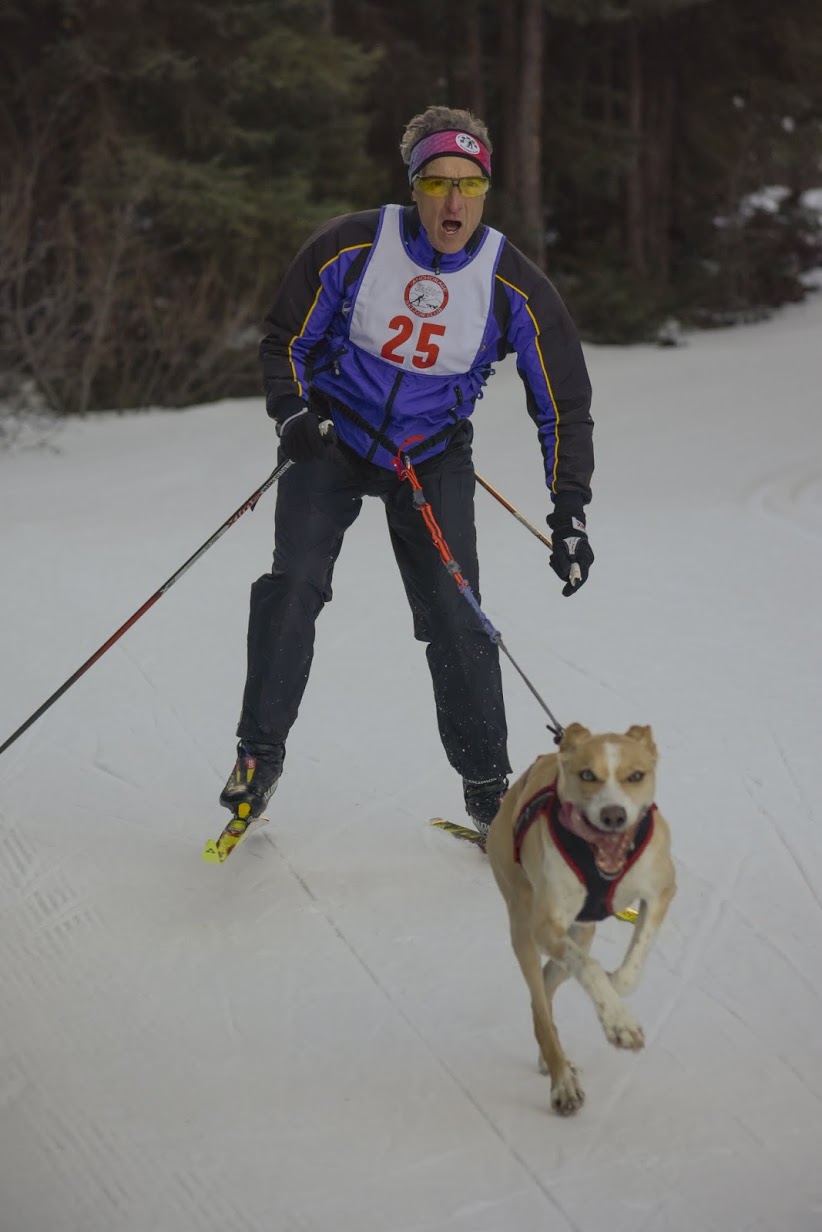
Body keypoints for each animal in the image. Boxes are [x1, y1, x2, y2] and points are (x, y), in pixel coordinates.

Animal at [488, 719, 675, 1118]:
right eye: (587, 774)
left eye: (636, 775)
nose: (613, 815)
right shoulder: (546, 924)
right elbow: (588, 967)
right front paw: (619, 1021)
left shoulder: (660, 890)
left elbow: (629, 970)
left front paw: (615, 985)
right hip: (523, 926)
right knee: (541, 1004)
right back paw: (562, 1082)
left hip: (579, 933)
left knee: (546, 989)